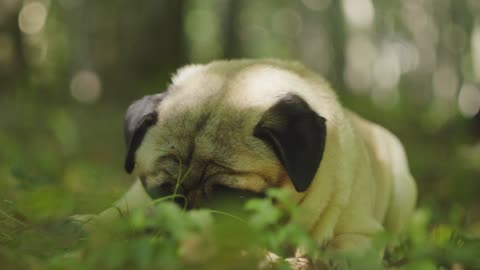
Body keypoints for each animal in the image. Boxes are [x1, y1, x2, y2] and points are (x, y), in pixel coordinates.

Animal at [78, 59, 416, 260]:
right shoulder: (138, 195)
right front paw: (89, 225)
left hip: (401, 191)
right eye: (162, 192)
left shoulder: (362, 231)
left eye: (233, 198)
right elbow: (117, 212)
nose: (188, 223)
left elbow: (347, 248)